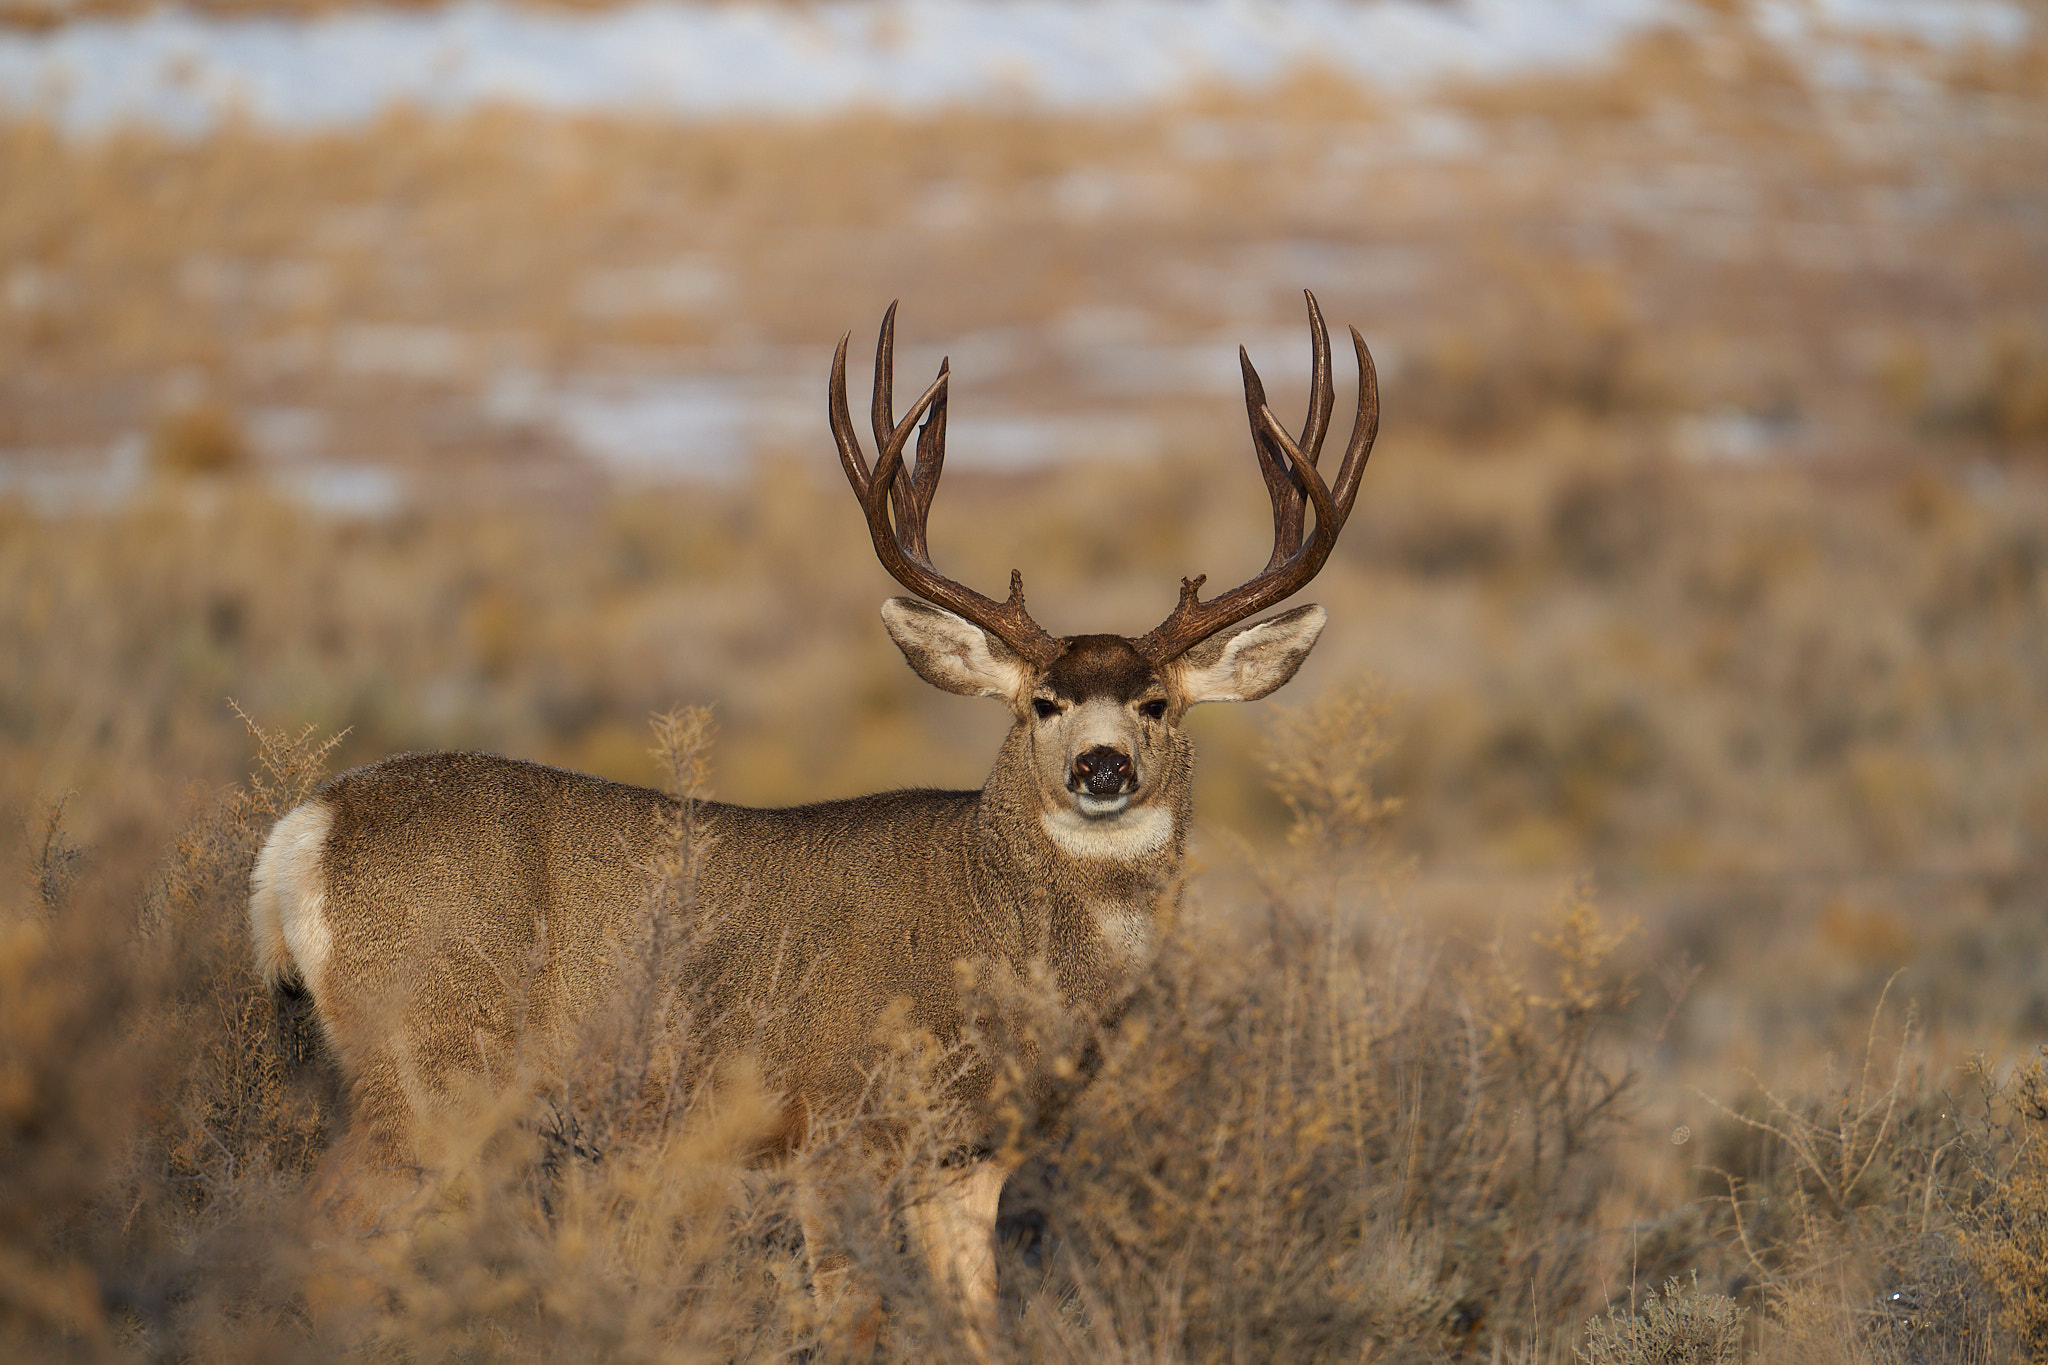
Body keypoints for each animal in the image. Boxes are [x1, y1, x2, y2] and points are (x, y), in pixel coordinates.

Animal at [248, 291, 1377, 1352]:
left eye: (1155, 702)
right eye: (1042, 703)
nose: (1102, 766)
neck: (992, 935)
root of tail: (304, 830)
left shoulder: (968, 1156)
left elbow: (978, 1325)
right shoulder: (841, 1124)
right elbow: (853, 1321)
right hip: (426, 1071)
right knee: (316, 1242)